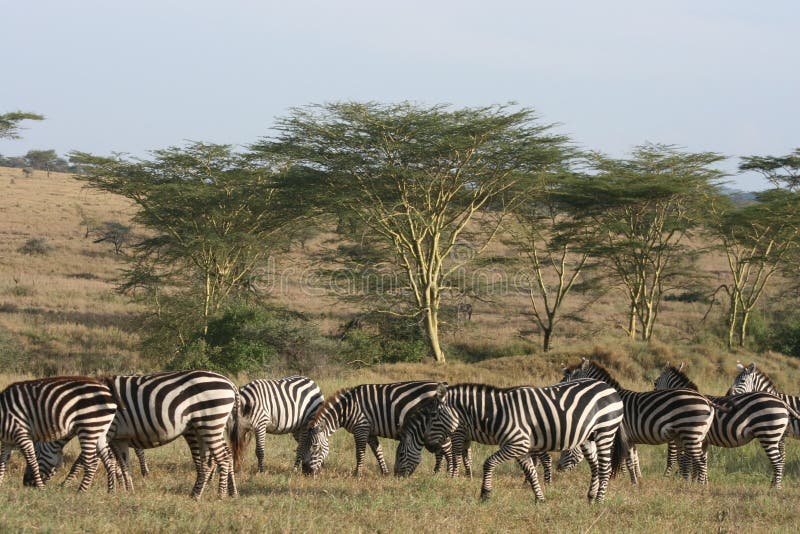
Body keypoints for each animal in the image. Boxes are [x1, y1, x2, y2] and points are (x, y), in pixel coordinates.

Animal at [25, 372, 241, 502]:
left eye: (36, 455)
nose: (27, 484)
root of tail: (230, 383)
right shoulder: (118, 438)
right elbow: (123, 465)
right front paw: (127, 490)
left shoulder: (104, 431)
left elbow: (83, 461)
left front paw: (66, 483)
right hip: (205, 426)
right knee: (215, 459)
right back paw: (211, 493)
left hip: (211, 422)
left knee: (223, 458)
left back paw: (221, 495)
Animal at [304, 382, 446, 478]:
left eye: (315, 446)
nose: (306, 472)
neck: (347, 409)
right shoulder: (370, 432)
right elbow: (378, 451)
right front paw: (385, 472)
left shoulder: (361, 428)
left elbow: (360, 453)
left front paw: (357, 474)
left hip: (437, 427)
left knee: (443, 449)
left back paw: (438, 473)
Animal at [390, 382, 628, 502]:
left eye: (434, 416)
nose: (430, 447)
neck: (497, 413)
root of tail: (608, 387)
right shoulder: (521, 448)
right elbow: (530, 472)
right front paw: (539, 498)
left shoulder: (517, 444)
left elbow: (488, 463)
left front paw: (485, 494)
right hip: (588, 437)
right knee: (595, 466)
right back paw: (591, 495)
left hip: (606, 431)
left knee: (605, 468)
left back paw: (599, 501)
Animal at [560, 360, 716, 486]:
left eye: (567, 379)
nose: (558, 469)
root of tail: (707, 401)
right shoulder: (629, 437)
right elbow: (633, 460)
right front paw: (635, 481)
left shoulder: (616, 434)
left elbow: (619, 458)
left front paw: (618, 478)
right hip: (695, 436)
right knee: (695, 460)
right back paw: (691, 483)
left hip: (690, 434)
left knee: (700, 461)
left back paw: (699, 487)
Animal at [652, 362, 796, 488]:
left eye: (655, 382)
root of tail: (782, 401)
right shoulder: (703, 441)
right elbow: (702, 462)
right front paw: (702, 483)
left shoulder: (693, 437)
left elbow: (692, 461)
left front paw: (695, 483)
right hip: (777, 436)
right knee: (780, 460)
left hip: (769, 435)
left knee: (778, 462)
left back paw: (775, 489)